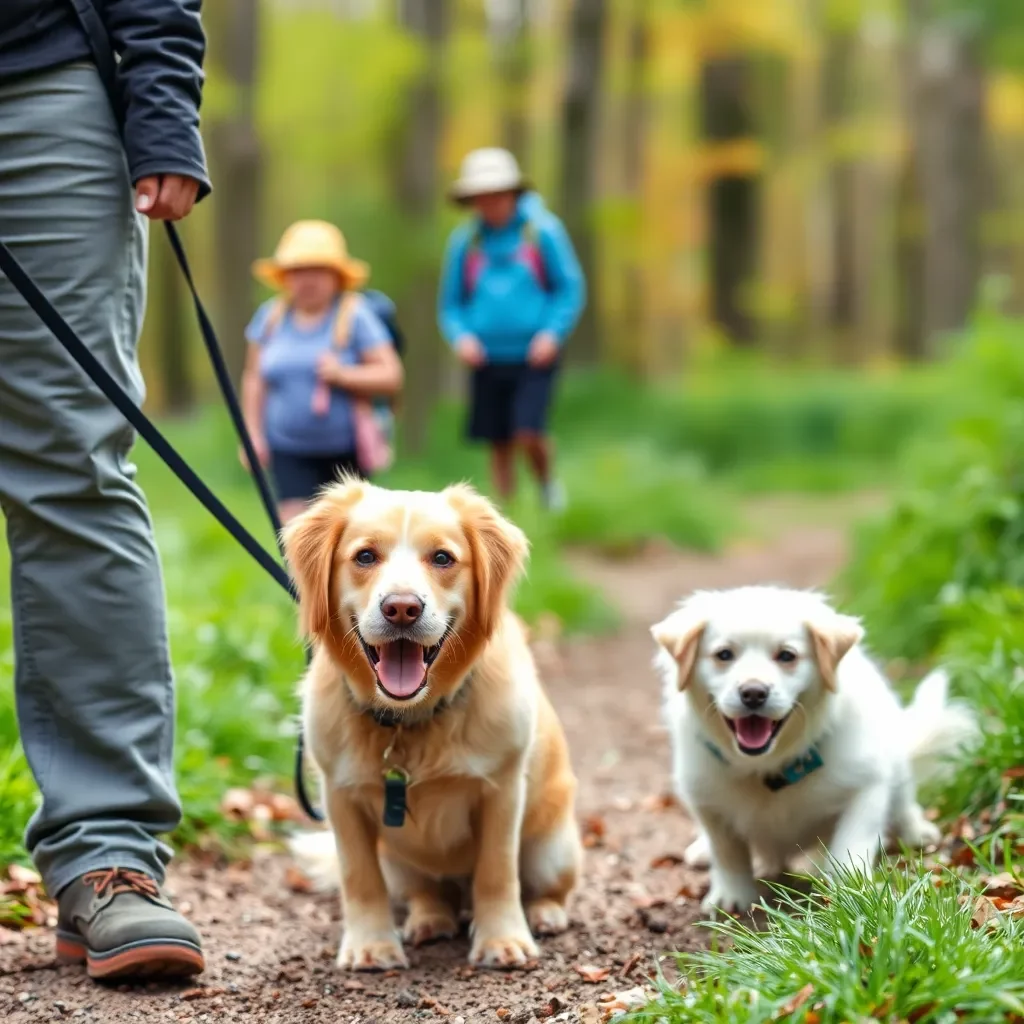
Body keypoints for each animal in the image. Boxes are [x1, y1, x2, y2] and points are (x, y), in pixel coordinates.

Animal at [284, 475, 581, 970]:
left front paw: (503, 940)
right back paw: (429, 921)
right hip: (402, 863)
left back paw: (545, 913)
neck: (410, 720)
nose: (402, 608)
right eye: (365, 556)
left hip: (552, 848)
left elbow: (496, 873)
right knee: (429, 893)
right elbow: (359, 879)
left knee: (546, 887)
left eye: (442, 558)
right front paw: (371, 944)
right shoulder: (341, 799)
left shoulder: (502, 791)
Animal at [651, 585, 978, 913]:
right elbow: (728, 852)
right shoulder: (706, 799)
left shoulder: (867, 785)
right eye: (724, 655)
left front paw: (852, 891)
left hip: (896, 765)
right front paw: (731, 895)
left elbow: (852, 843)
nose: (754, 693)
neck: (769, 765)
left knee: (903, 802)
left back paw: (916, 831)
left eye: (787, 655)